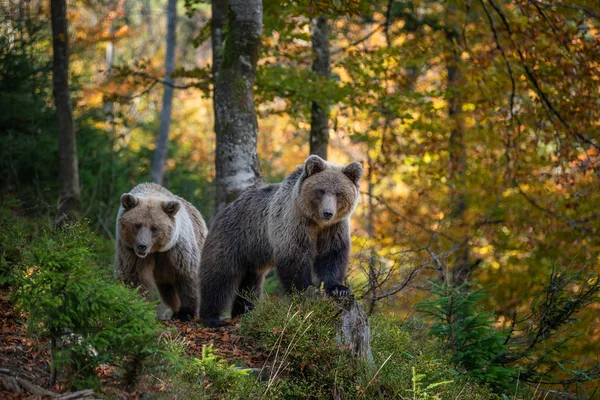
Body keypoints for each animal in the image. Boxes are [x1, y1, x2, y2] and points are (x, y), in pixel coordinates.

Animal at [115, 183, 209, 320]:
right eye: (137, 224)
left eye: (154, 228)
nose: (142, 246)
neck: (155, 250)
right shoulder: (131, 251)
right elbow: (135, 277)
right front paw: (137, 304)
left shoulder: (177, 249)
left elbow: (187, 274)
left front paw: (187, 313)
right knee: (167, 289)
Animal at [199, 155, 364, 326]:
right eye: (321, 190)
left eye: (339, 193)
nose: (328, 213)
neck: (316, 222)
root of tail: (226, 209)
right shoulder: (294, 223)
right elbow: (295, 256)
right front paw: (303, 289)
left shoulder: (333, 228)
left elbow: (332, 255)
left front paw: (338, 288)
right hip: (233, 238)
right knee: (219, 276)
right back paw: (212, 318)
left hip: (253, 255)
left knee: (251, 283)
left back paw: (245, 311)